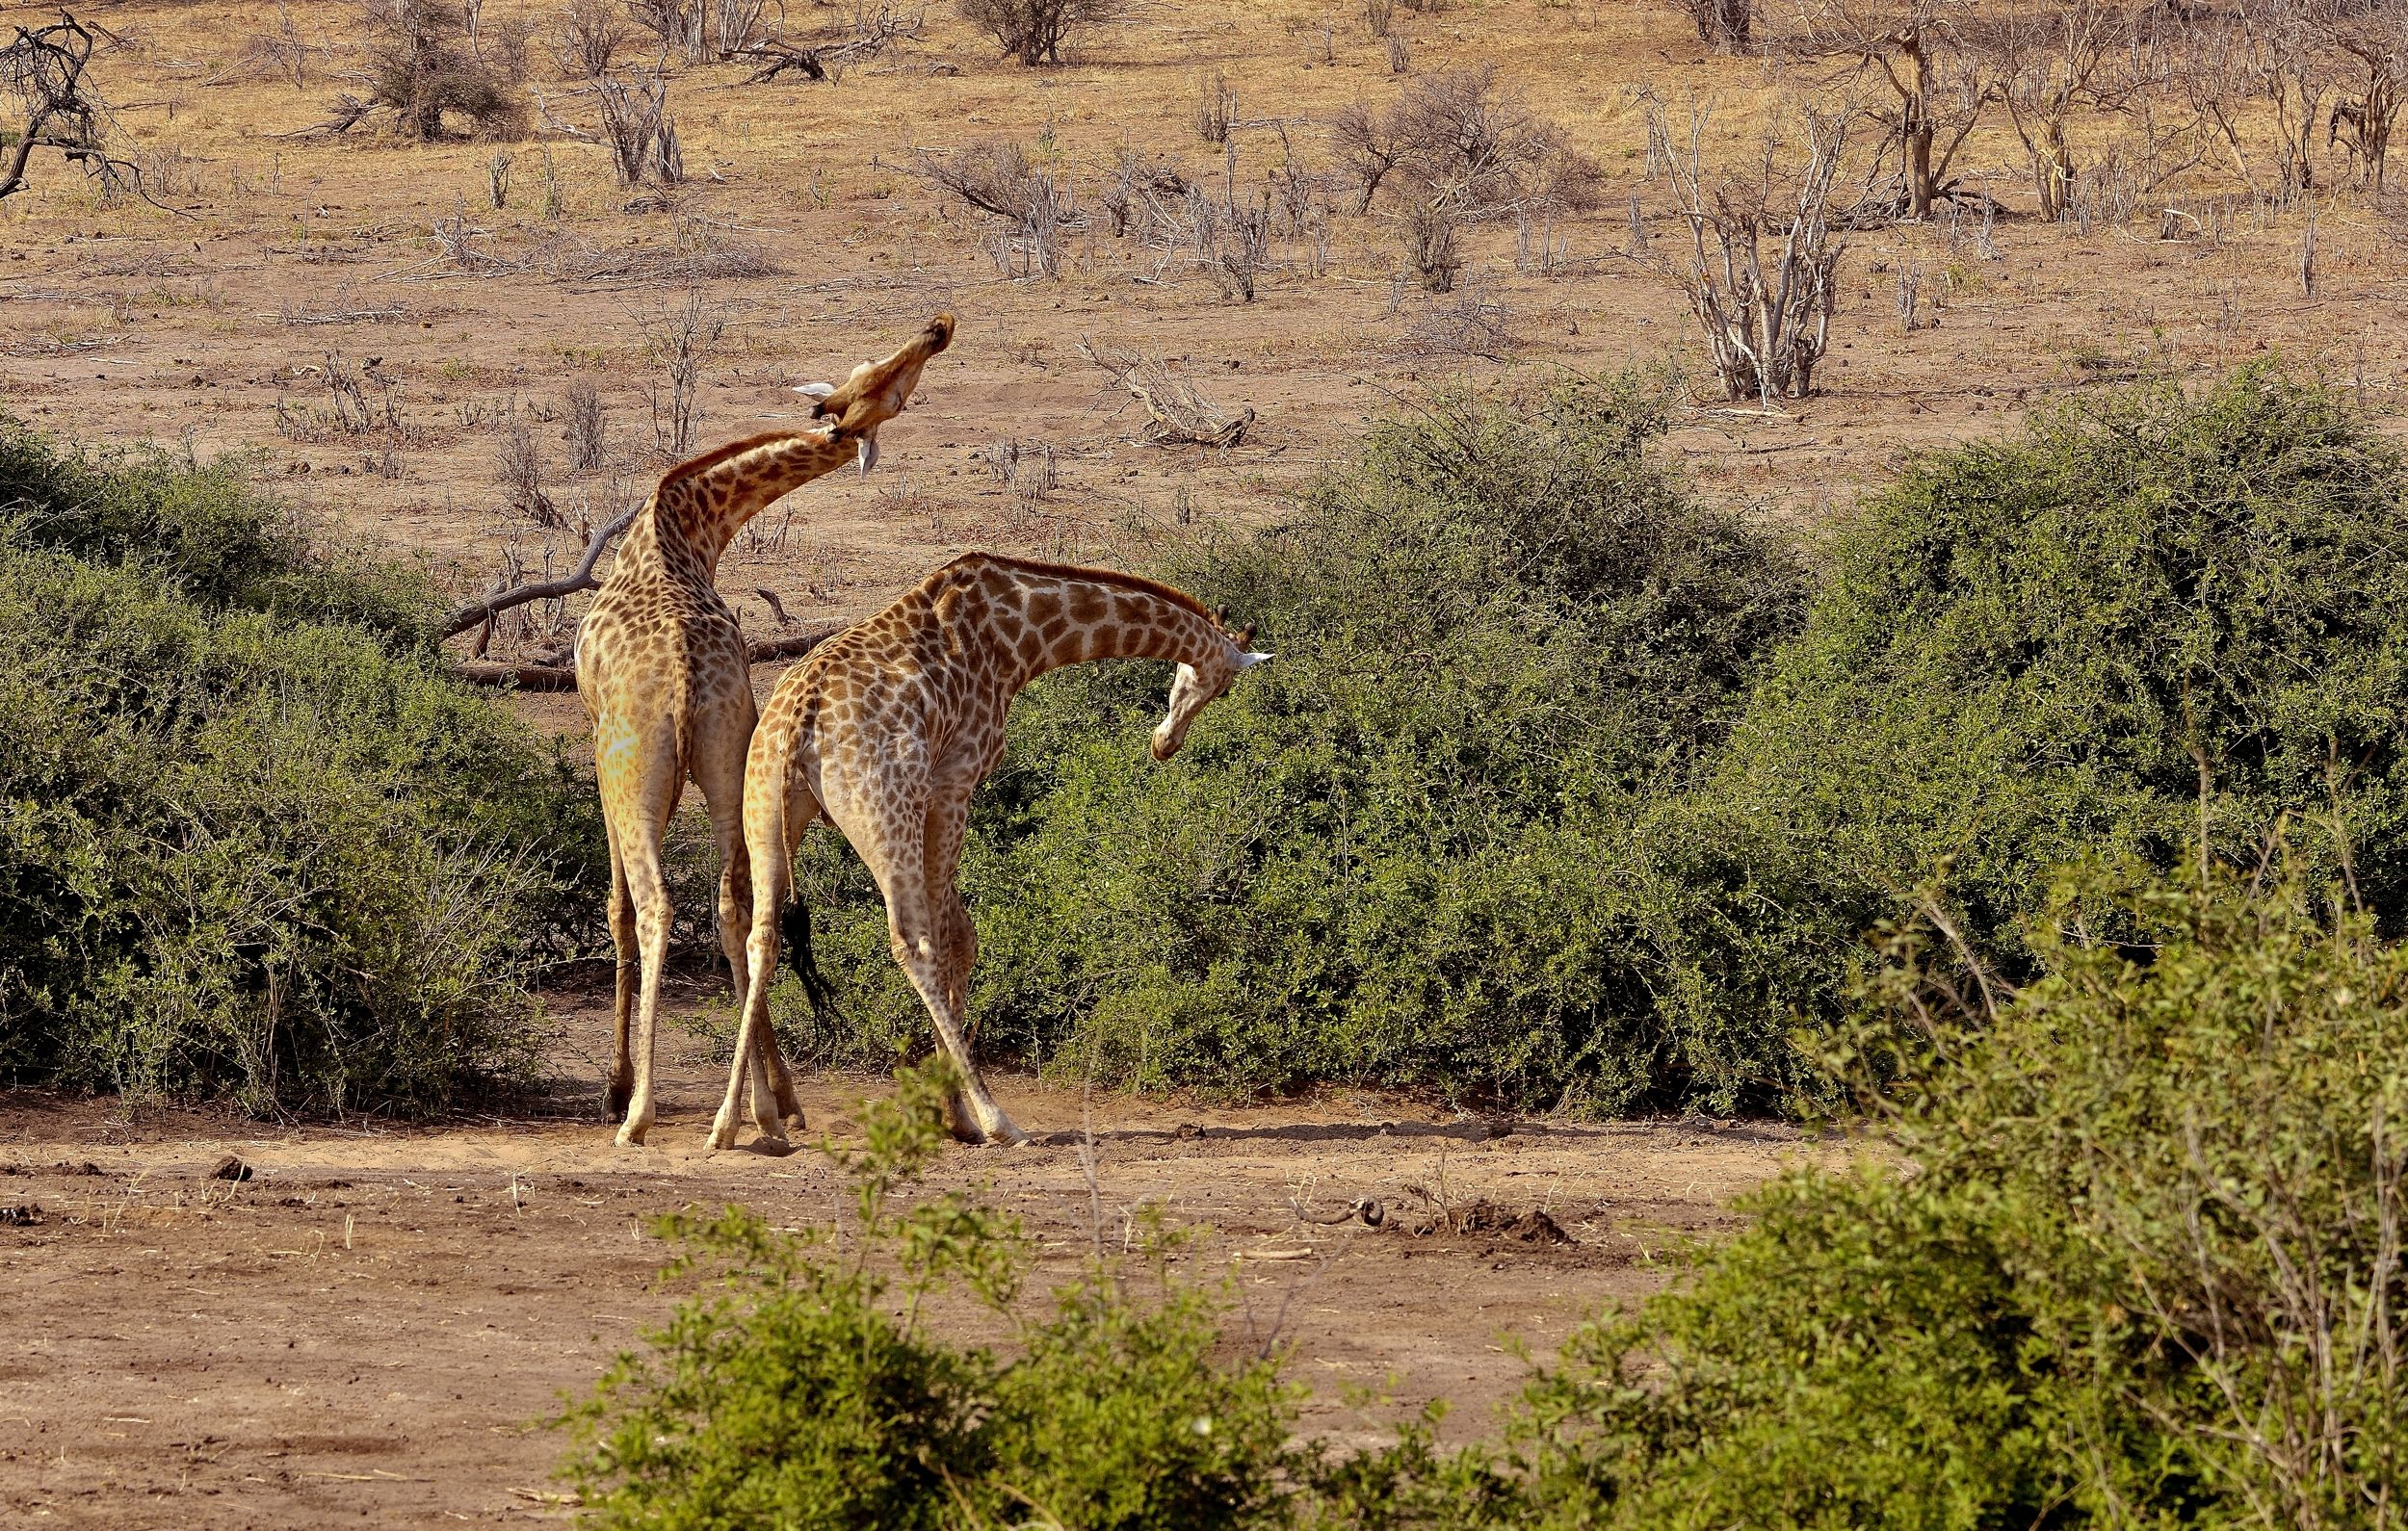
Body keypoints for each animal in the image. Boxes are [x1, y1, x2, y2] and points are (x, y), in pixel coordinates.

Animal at [576, 313, 955, 1148]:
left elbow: (616, 910)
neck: (686, 524)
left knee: (659, 905)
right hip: (729, 759)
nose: (938, 328)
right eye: (878, 374)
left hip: (634, 768)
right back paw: (767, 1105)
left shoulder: (595, 747)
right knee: (738, 906)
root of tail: (683, 675)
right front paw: (775, 1098)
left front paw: (613, 1091)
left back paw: (641, 1110)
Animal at [704, 553, 1272, 1151]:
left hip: (765, 807)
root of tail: (799, 720)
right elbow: (950, 939)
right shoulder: (955, 780)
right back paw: (999, 1119)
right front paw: (957, 1114)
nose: (1165, 744)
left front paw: (948, 1110)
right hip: (884, 812)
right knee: (911, 942)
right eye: (1224, 689)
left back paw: (737, 1122)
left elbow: (963, 934)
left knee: (759, 934)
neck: (1019, 634)